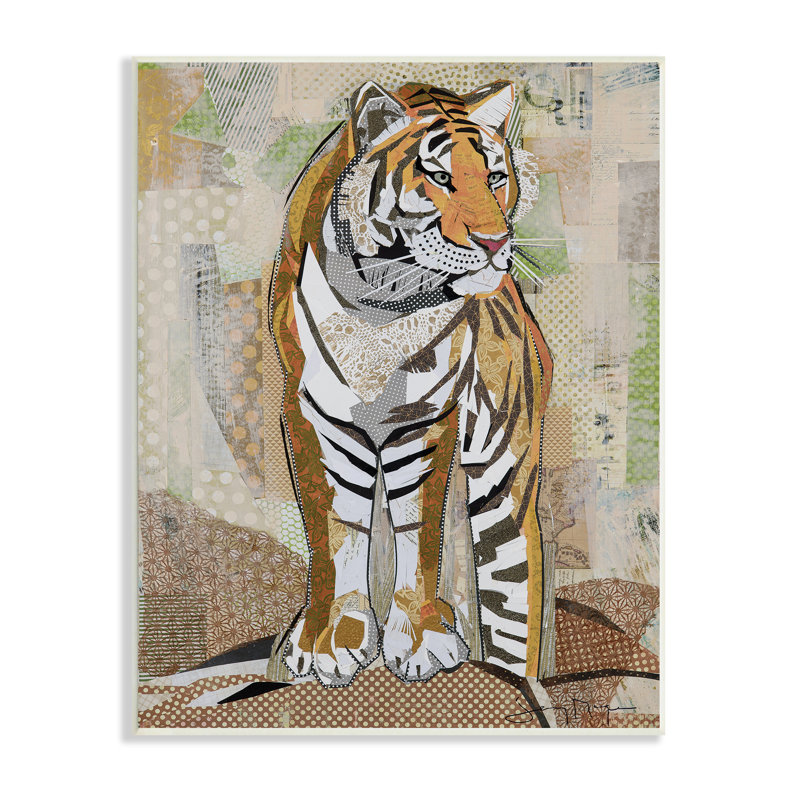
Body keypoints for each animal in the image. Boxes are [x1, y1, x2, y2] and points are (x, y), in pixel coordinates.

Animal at [269, 80, 552, 687]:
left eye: (495, 176)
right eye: (441, 178)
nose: (495, 242)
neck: (381, 308)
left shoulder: (425, 420)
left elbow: (418, 532)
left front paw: (420, 639)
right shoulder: (311, 412)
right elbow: (334, 532)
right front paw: (328, 639)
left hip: (505, 489)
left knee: (511, 602)